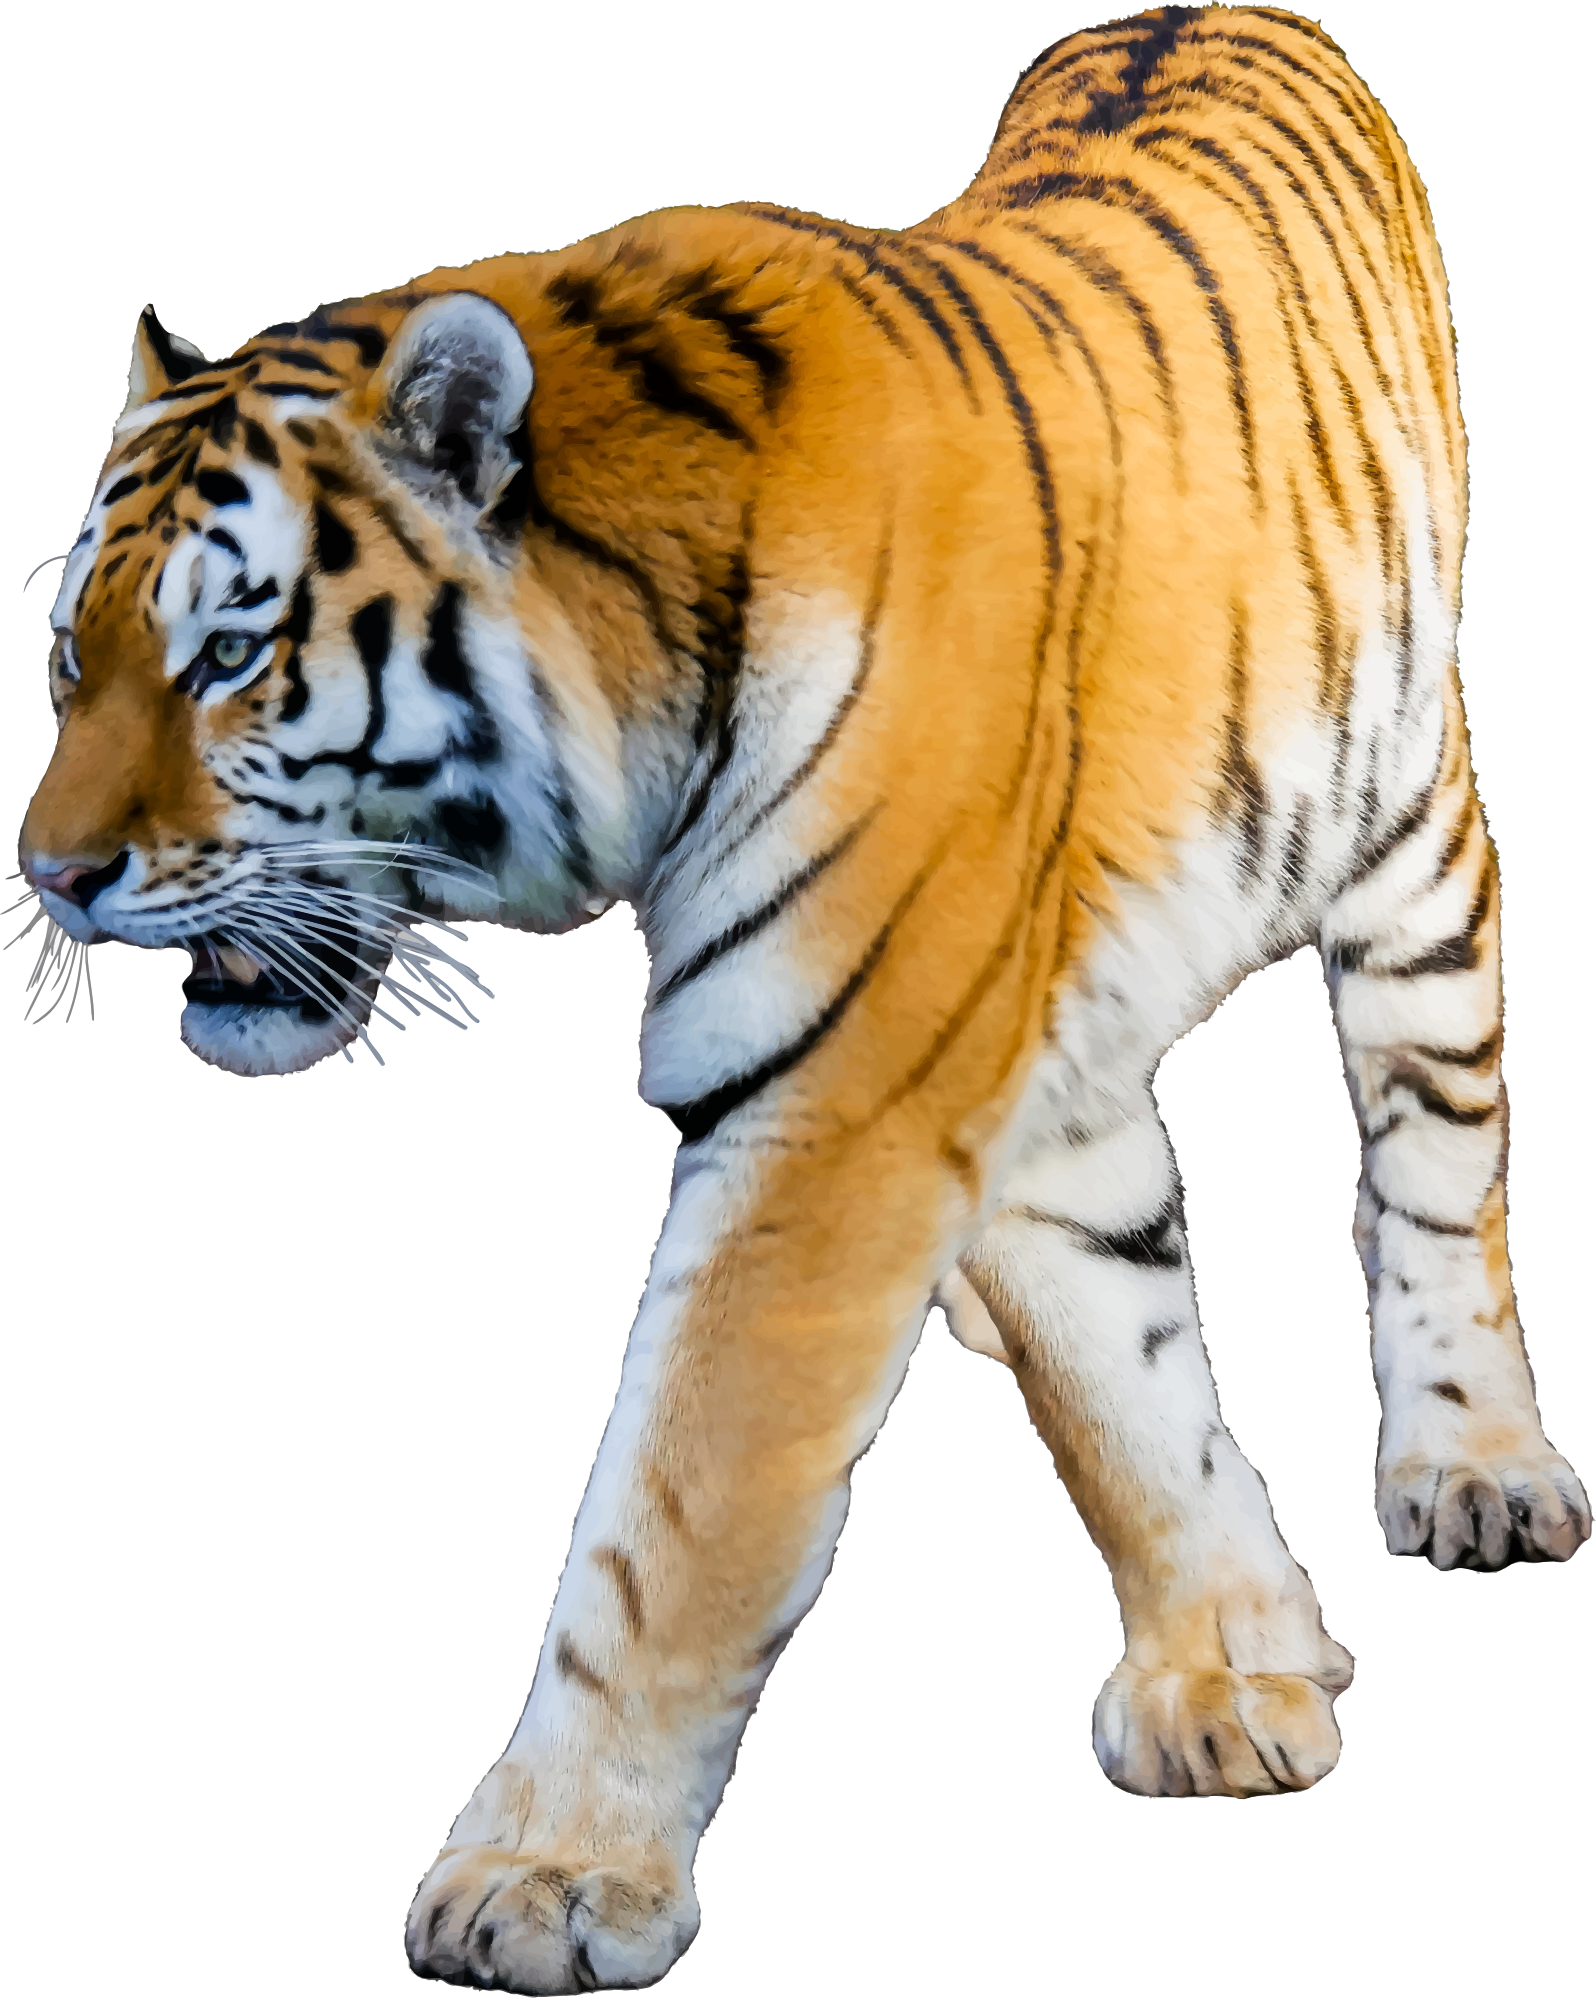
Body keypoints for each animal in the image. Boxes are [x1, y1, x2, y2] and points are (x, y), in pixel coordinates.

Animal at [16, 3, 1588, 1988]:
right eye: (70, 658)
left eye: (229, 652)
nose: (49, 878)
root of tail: (1224, 4)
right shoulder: (1000, 1065)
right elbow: (1122, 1372)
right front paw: (1230, 1661)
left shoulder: (837, 1104)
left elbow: (674, 1516)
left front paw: (546, 1878)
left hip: (1409, 836)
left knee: (1439, 1164)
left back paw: (1476, 1467)